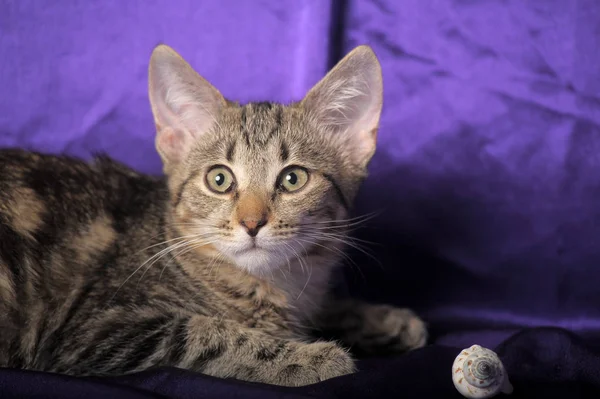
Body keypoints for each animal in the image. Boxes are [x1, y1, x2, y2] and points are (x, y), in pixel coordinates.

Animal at [0, 44, 426, 388]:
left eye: (293, 179)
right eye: (219, 179)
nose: (252, 222)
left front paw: (381, 319)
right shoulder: (96, 330)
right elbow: (207, 333)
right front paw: (312, 357)